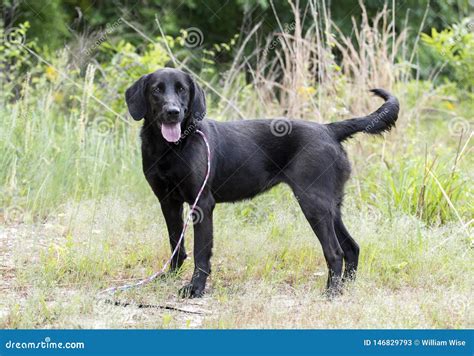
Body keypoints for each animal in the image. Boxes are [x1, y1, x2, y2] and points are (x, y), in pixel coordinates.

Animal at [124, 67, 398, 298]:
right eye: (157, 89)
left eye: (182, 89)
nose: (173, 112)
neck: (171, 148)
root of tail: (329, 130)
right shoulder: (168, 202)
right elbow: (175, 244)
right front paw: (170, 276)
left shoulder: (202, 204)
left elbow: (201, 253)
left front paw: (195, 289)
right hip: (331, 206)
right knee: (352, 247)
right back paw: (344, 290)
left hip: (314, 204)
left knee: (336, 251)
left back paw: (330, 293)